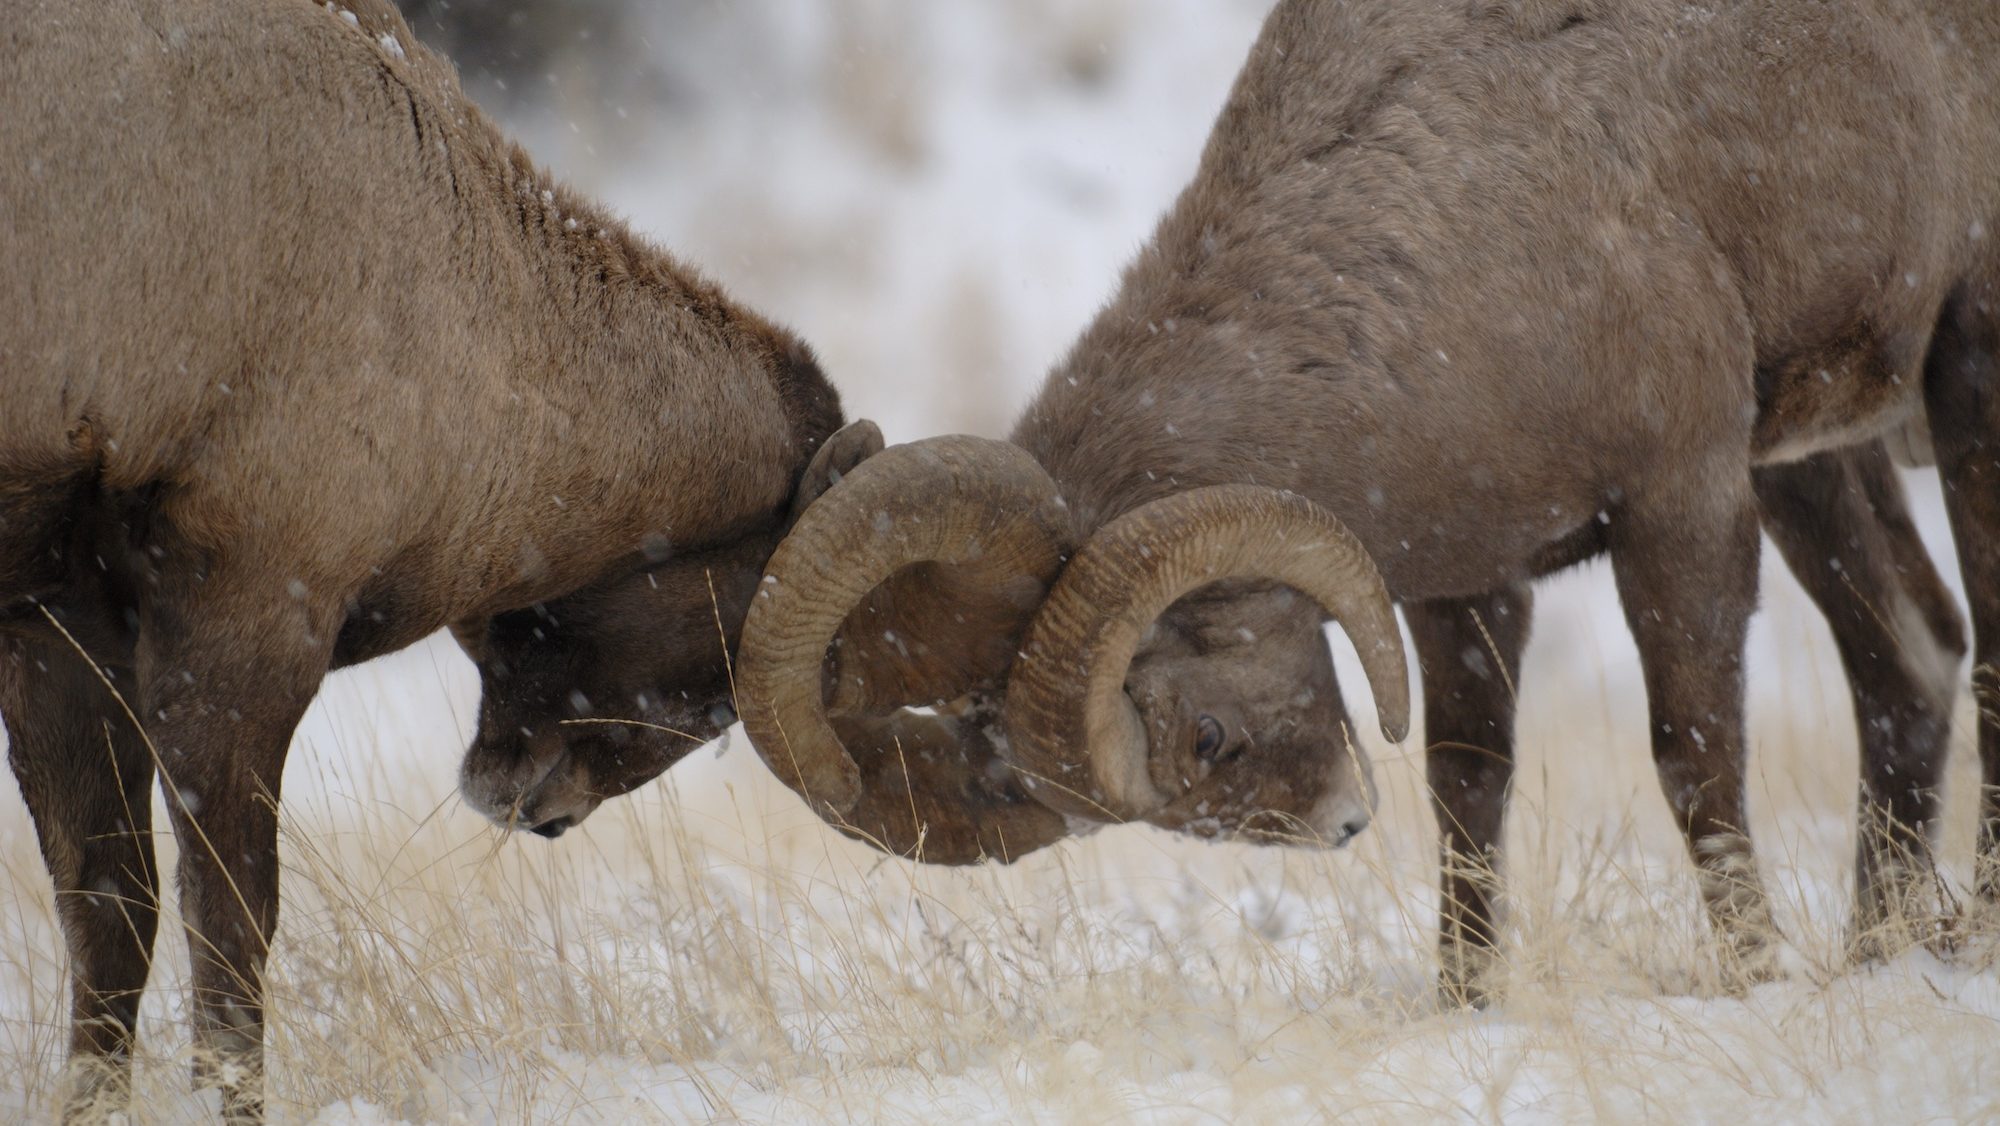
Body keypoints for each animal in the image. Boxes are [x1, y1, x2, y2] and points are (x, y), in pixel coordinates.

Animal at [0, 0, 872, 1112]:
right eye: (722, 662)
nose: (535, 806)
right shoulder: (244, 621)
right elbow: (231, 932)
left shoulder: (57, 629)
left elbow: (109, 920)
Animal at [736, 0, 2000, 1000]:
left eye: (1208, 731)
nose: (1340, 823)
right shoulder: (1468, 584)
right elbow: (1467, 788)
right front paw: (1462, 1002)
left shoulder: (1680, 502)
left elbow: (1692, 758)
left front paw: (1750, 981)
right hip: (1814, 464)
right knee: (1910, 658)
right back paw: (1886, 953)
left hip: (1962, 379)